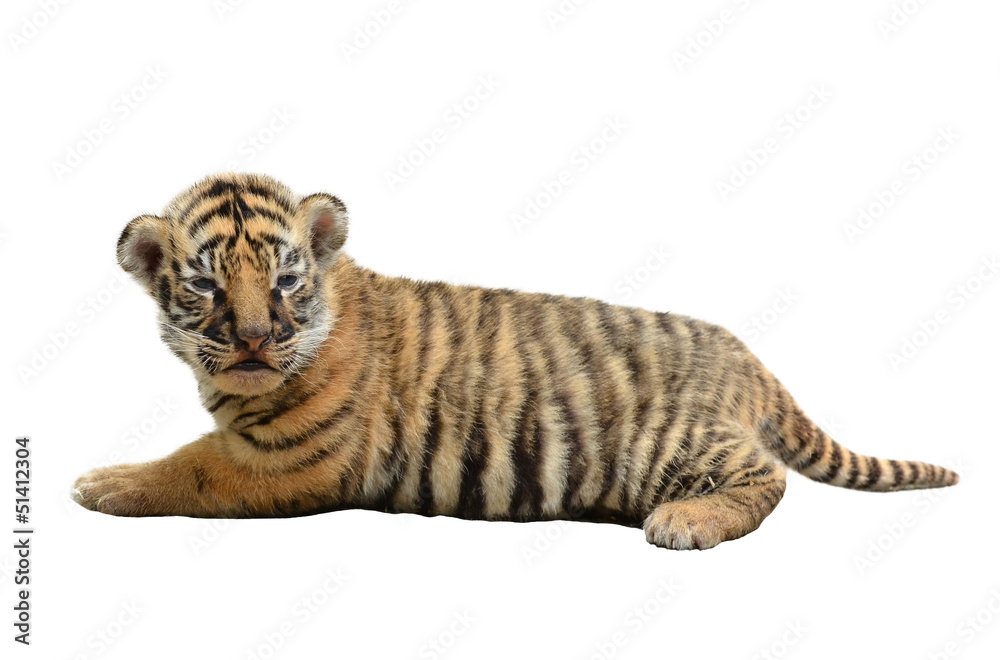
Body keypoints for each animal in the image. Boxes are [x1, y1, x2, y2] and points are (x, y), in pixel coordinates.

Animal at [72, 172, 959, 550]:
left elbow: (190, 466)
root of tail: (742, 352)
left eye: (286, 281)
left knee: (766, 477)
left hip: (671, 440)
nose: (255, 340)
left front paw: (103, 482)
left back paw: (685, 522)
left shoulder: (288, 459)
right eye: (207, 286)